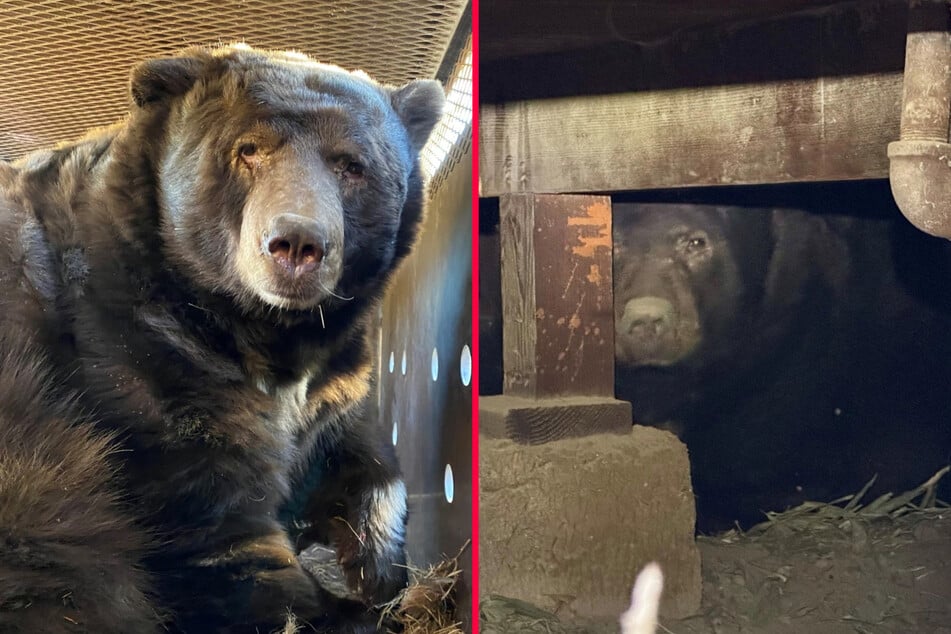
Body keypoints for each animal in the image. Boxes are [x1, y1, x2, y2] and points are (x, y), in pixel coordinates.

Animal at [0, 42, 446, 628]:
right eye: (248, 150)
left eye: (352, 164)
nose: (297, 243)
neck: (263, 330)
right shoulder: (145, 363)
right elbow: (221, 537)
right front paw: (351, 607)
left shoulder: (335, 380)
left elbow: (362, 451)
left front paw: (377, 567)